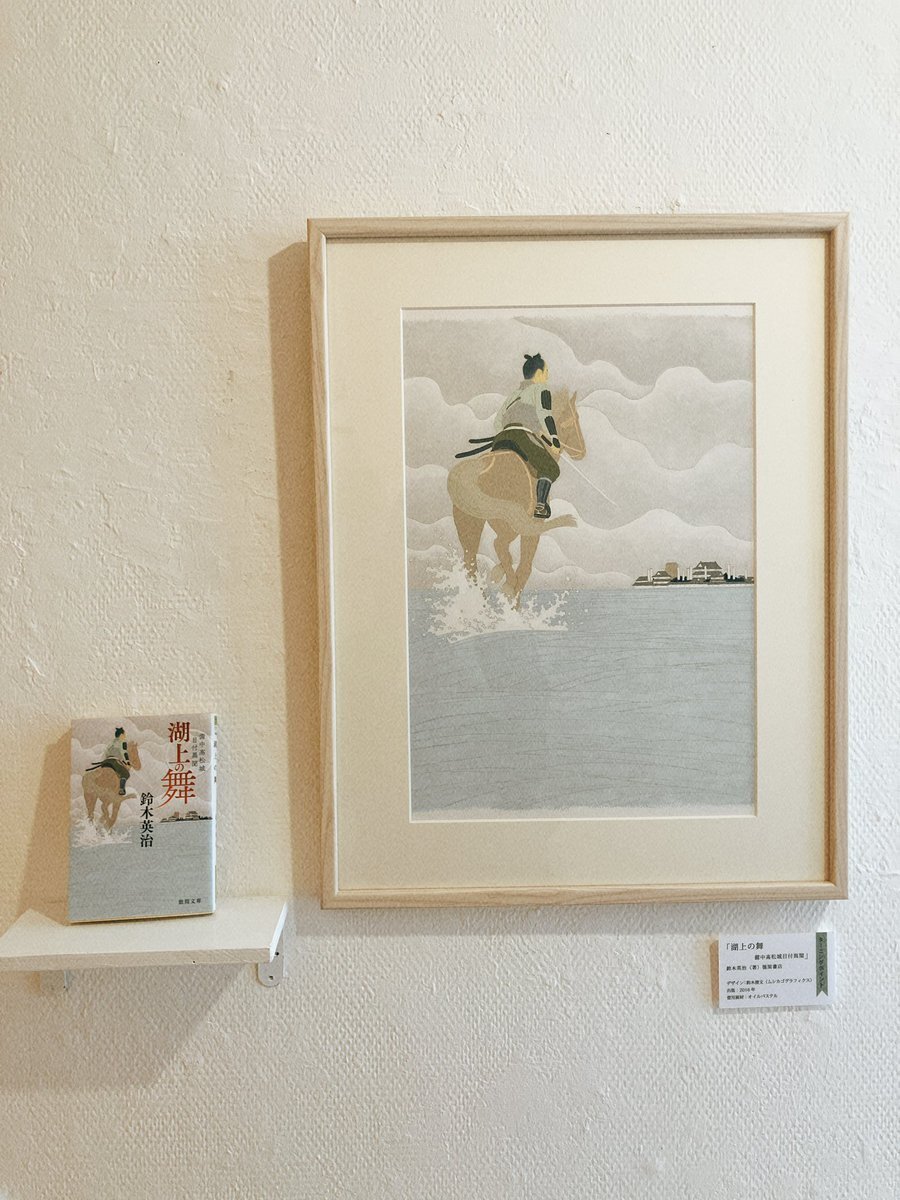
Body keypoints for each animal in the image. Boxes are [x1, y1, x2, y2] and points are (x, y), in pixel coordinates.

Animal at [447, 389, 586, 606]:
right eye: (573, 419)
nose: (581, 451)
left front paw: (500, 578)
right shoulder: (532, 528)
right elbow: (524, 567)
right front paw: (511, 594)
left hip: (470, 522)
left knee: (472, 562)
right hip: (507, 521)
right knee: (499, 546)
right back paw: (506, 591)